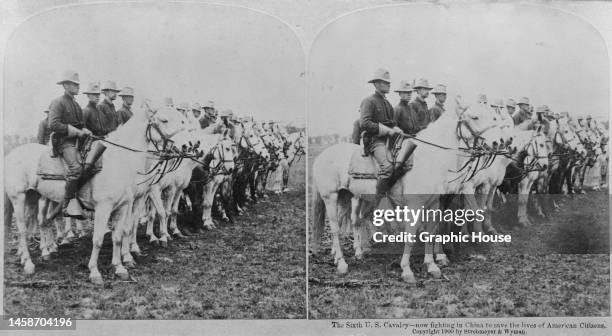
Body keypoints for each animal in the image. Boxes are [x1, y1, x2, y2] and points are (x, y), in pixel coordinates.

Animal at [4, 100, 184, 284]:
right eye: (164, 120)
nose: (181, 148)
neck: (118, 161)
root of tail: (11, 154)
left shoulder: (123, 206)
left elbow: (118, 236)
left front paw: (120, 267)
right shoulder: (104, 207)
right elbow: (97, 239)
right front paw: (95, 272)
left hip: (33, 196)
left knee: (39, 222)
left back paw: (38, 253)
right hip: (18, 198)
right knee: (23, 228)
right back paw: (29, 263)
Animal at [314, 97, 504, 284]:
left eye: (494, 117)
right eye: (475, 117)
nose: (497, 142)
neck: (430, 159)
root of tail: (322, 155)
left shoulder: (434, 204)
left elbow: (432, 232)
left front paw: (432, 266)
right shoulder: (415, 205)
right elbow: (411, 236)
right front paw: (406, 270)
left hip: (348, 196)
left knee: (354, 221)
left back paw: (354, 253)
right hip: (331, 197)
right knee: (336, 228)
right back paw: (341, 263)